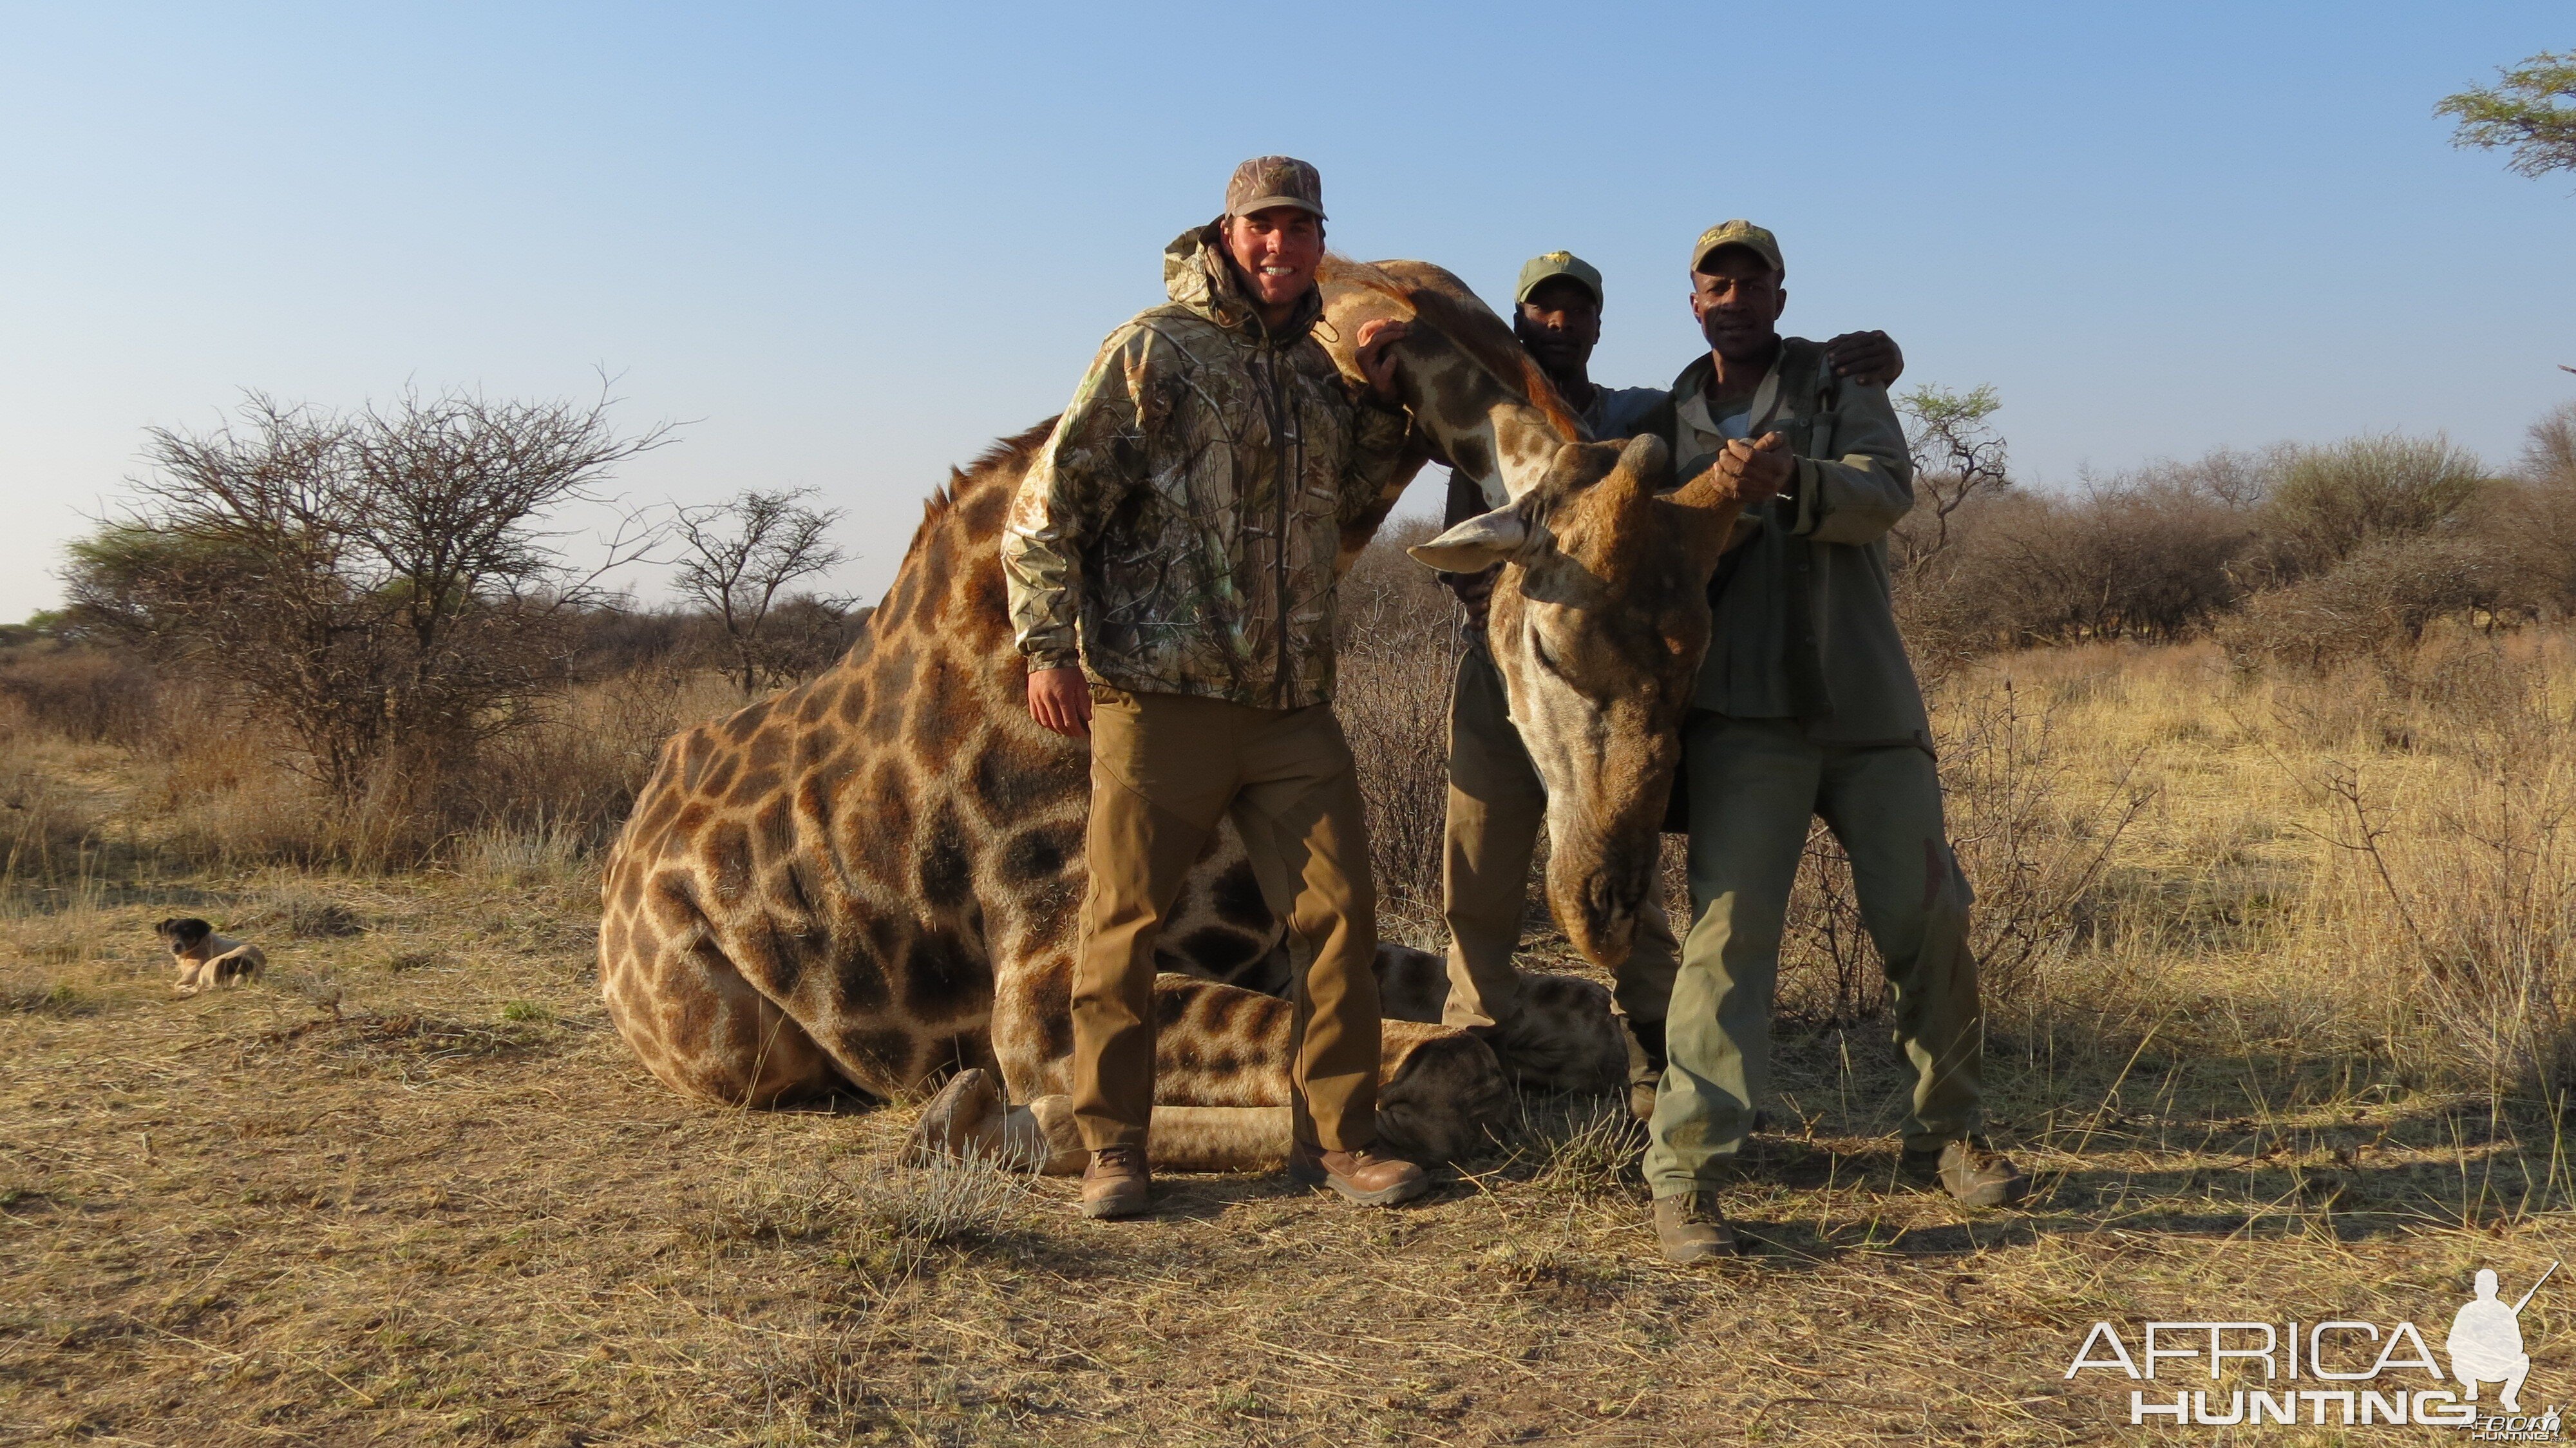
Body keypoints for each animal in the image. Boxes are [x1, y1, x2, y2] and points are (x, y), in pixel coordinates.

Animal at [592, 254, 1741, 1165]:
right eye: (1545, 646)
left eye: (1699, 662)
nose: (1601, 903)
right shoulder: (1048, 992)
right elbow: (1452, 1072)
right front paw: (991, 1119)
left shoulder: (1277, 941)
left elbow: (1558, 1024)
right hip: (739, 1051)